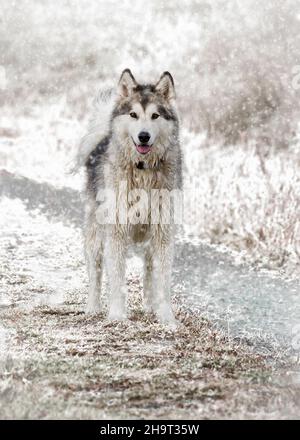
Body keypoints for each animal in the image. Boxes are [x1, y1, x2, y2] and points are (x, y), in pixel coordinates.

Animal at [79, 68, 182, 324]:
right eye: (133, 114)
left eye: (155, 115)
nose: (144, 136)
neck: (142, 169)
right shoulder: (115, 232)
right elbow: (116, 279)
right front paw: (117, 315)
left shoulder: (163, 232)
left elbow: (162, 280)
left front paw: (166, 318)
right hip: (95, 236)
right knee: (95, 274)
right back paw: (92, 308)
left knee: (149, 273)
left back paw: (149, 307)